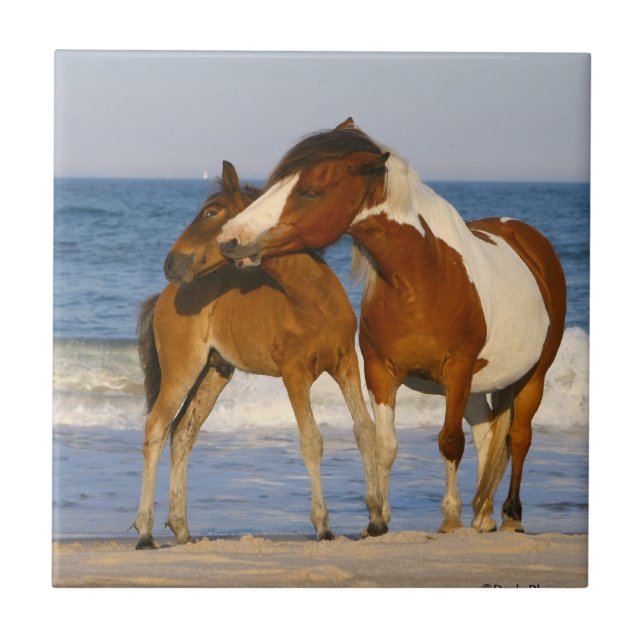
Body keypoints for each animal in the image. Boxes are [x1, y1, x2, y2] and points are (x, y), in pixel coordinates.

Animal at [133, 160, 383, 549]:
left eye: (211, 211)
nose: (171, 263)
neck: (312, 301)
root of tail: (164, 295)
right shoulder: (294, 375)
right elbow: (311, 441)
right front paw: (323, 527)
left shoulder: (346, 364)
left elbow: (365, 430)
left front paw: (375, 520)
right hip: (182, 369)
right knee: (157, 428)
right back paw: (145, 532)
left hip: (215, 372)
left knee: (183, 432)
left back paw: (183, 530)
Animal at [217, 118, 567, 535]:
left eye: (309, 192)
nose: (230, 238)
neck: (423, 279)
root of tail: (526, 237)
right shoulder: (381, 373)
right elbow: (384, 445)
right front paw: (378, 519)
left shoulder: (457, 372)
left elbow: (450, 442)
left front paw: (449, 519)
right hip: (481, 383)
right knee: (487, 435)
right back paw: (482, 515)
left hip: (532, 376)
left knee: (518, 436)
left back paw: (510, 515)